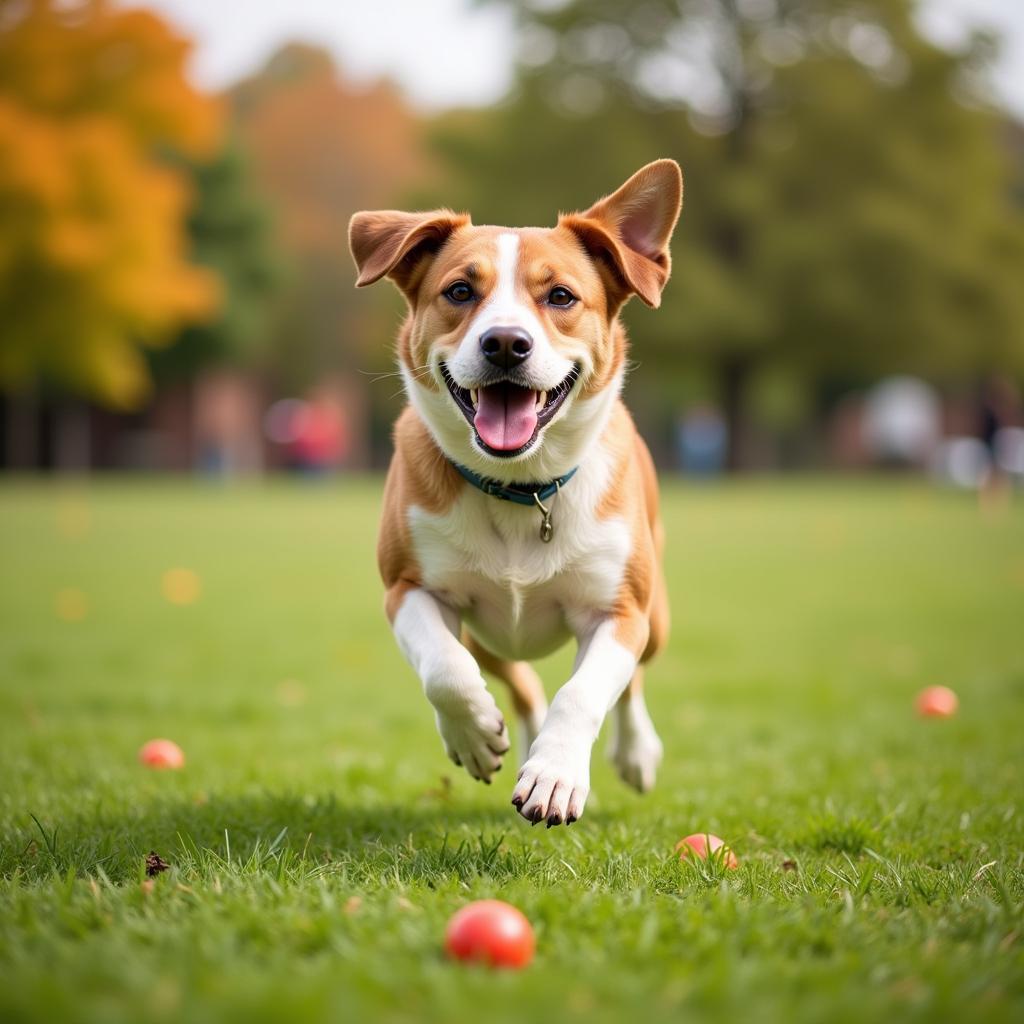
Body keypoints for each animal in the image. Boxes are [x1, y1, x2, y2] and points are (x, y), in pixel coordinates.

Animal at [350, 161, 679, 831]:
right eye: (458, 291)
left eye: (561, 297)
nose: (505, 342)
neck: (523, 490)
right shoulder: (407, 589)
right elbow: (445, 668)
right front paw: (476, 735)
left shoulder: (618, 612)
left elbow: (584, 691)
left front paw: (555, 776)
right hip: (491, 635)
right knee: (517, 679)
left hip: (653, 613)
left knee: (630, 681)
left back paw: (634, 753)